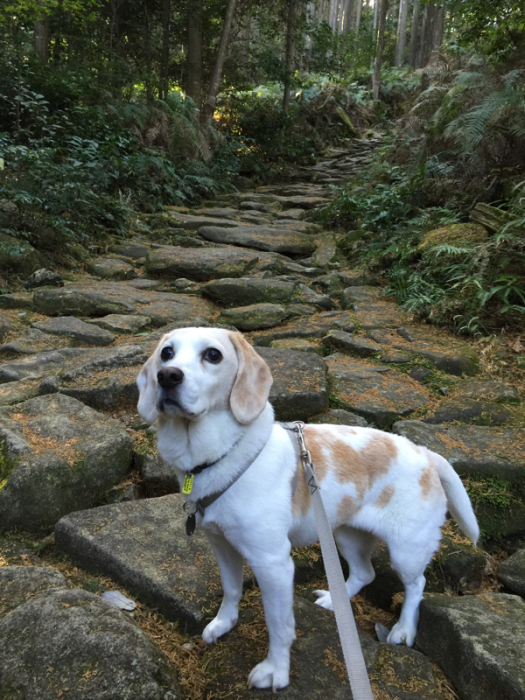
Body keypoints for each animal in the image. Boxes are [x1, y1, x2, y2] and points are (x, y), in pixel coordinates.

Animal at [136, 326, 478, 688]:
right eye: (167, 353)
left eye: (213, 355)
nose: (166, 376)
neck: (223, 454)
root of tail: (425, 452)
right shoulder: (223, 546)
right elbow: (231, 590)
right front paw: (223, 623)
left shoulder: (273, 564)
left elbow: (279, 626)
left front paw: (275, 670)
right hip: (344, 534)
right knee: (364, 572)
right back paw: (335, 600)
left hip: (406, 550)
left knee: (416, 586)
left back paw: (403, 629)